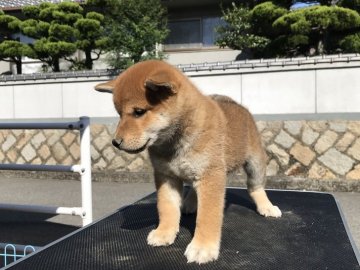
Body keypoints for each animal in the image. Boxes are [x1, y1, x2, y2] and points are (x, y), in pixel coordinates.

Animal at [95, 59, 282, 264]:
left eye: (139, 112)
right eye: (119, 114)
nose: (115, 142)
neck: (174, 142)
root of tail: (238, 105)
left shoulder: (210, 175)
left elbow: (207, 216)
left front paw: (203, 246)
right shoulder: (166, 176)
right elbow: (166, 208)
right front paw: (164, 232)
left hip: (255, 162)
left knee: (255, 187)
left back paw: (266, 206)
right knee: (193, 188)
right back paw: (190, 203)